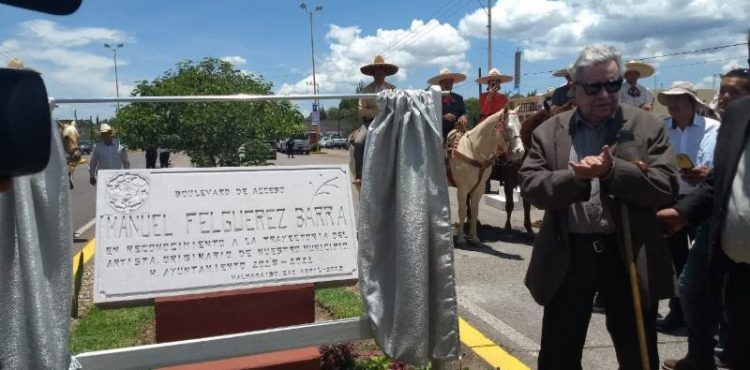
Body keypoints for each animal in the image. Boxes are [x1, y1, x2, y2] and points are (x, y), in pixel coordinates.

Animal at [452, 107, 524, 244]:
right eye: (509, 128)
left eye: (520, 127)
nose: (520, 151)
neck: (472, 151)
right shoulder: (462, 188)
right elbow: (462, 211)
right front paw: (461, 239)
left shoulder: (479, 188)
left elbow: (475, 211)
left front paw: (474, 237)